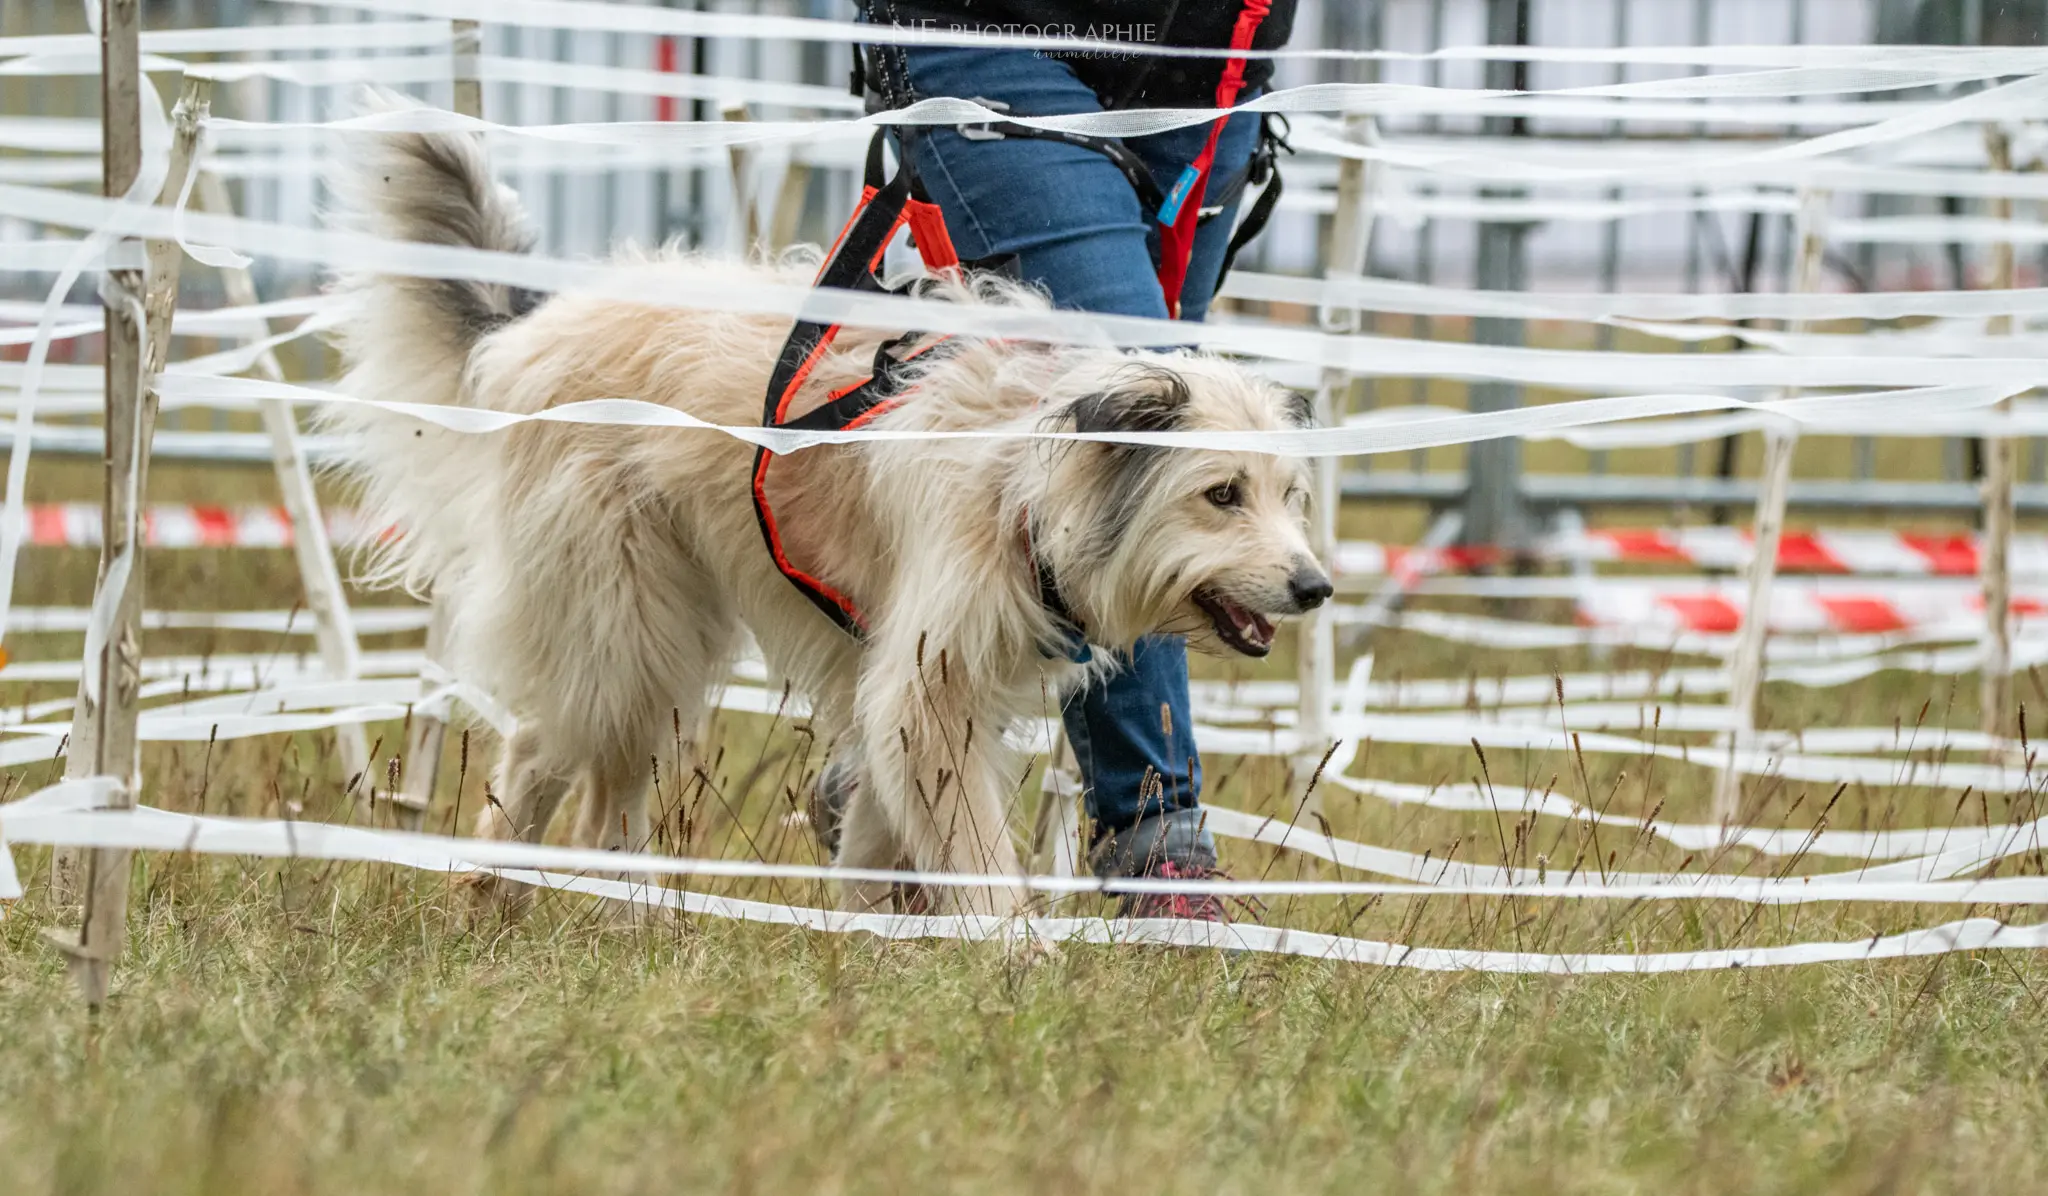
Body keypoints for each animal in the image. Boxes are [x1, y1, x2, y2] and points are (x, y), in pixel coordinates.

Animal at [327, 104, 1335, 917]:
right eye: (1221, 494)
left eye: (1291, 497)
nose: (1315, 588)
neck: (1029, 477)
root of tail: (527, 333)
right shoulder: (927, 683)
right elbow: (970, 842)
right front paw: (1014, 952)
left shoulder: (908, 683)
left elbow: (880, 832)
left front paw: (869, 941)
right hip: (620, 614)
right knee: (544, 751)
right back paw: (493, 892)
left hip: (659, 620)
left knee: (604, 780)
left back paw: (626, 913)